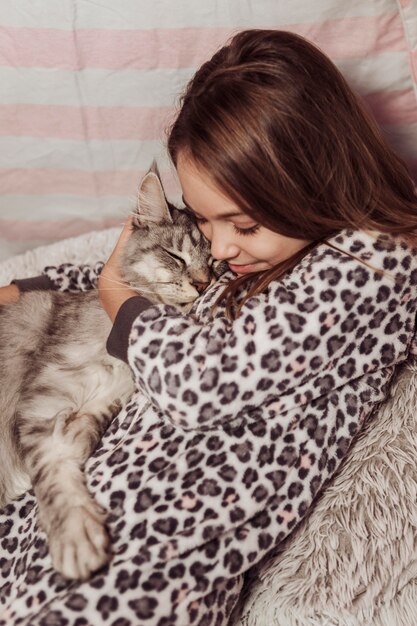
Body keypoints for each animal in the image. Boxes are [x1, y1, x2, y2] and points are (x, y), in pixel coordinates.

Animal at [0, 168, 216, 576]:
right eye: (175, 256)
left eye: (215, 264)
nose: (202, 283)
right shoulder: (42, 401)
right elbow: (54, 474)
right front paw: (75, 536)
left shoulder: (102, 398)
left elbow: (81, 434)